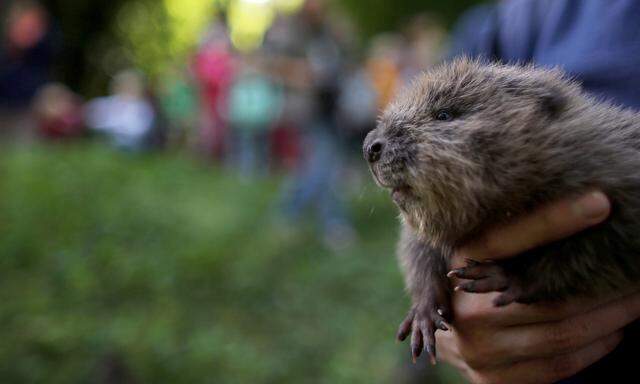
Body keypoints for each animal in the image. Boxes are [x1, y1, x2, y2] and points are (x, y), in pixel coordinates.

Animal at [362, 58, 640, 364]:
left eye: (444, 114)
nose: (370, 147)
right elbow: (417, 249)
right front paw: (423, 317)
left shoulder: (618, 180)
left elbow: (600, 248)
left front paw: (499, 277)